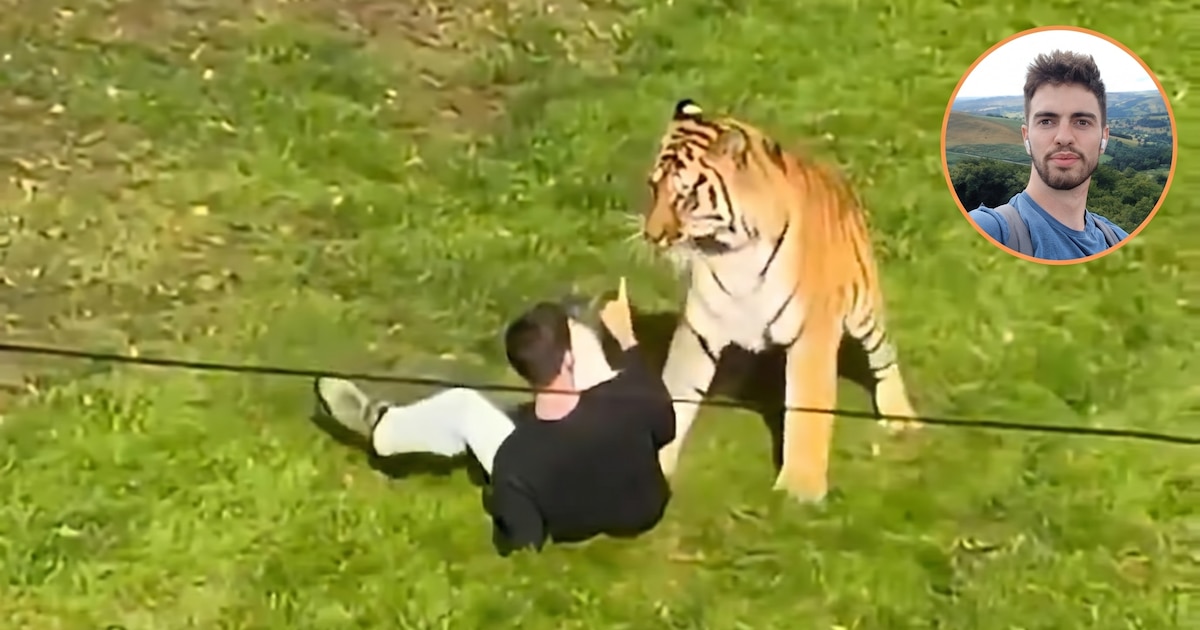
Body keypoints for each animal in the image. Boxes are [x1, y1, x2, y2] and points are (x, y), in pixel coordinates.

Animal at [639, 98, 921, 503]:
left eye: (686, 196)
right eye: (653, 187)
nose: (652, 235)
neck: (732, 252)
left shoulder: (812, 336)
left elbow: (806, 411)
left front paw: (800, 489)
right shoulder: (699, 330)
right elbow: (677, 391)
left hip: (864, 310)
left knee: (884, 356)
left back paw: (899, 416)